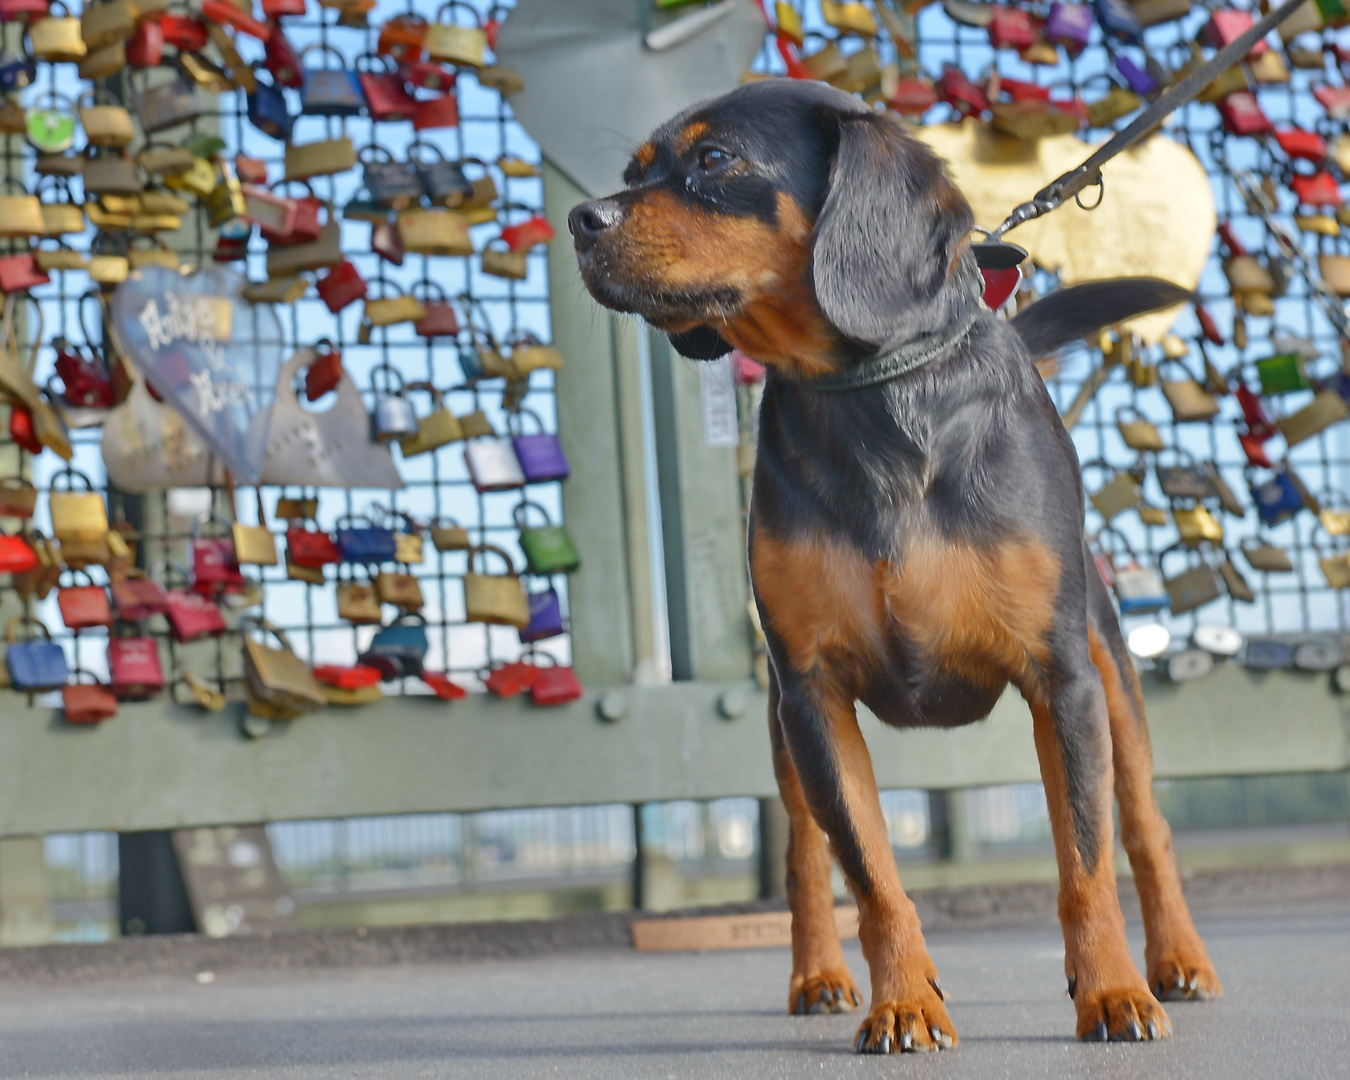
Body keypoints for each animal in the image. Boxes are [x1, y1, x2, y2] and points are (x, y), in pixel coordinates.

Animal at [564, 82, 1220, 1053]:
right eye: (632, 173)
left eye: (715, 160)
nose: (581, 219)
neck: (879, 396)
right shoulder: (813, 695)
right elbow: (870, 878)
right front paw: (904, 999)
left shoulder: (1062, 682)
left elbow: (1085, 862)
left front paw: (1109, 990)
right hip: (785, 737)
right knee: (805, 858)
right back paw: (819, 975)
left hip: (1112, 679)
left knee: (1144, 828)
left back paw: (1174, 958)